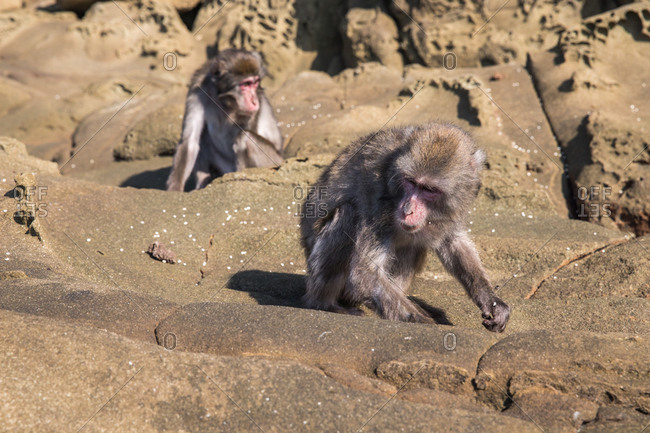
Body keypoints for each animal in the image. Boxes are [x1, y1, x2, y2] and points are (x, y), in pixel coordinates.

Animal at [167, 49, 283, 192]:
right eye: (246, 84)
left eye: (255, 83)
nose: (254, 101)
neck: (222, 99)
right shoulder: (197, 92)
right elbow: (190, 141)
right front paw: (175, 189)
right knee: (203, 139)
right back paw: (204, 181)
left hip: (274, 162)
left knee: (245, 138)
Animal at [300, 123, 510, 332]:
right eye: (411, 182)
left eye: (429, 190)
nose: (408, 210)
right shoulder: (380, 202)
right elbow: (365, 276)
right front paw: (427, 324)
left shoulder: (455, 206)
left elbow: (453, 243)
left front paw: (491, 301)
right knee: (348, 212)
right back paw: (326, 304)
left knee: (413, 246)